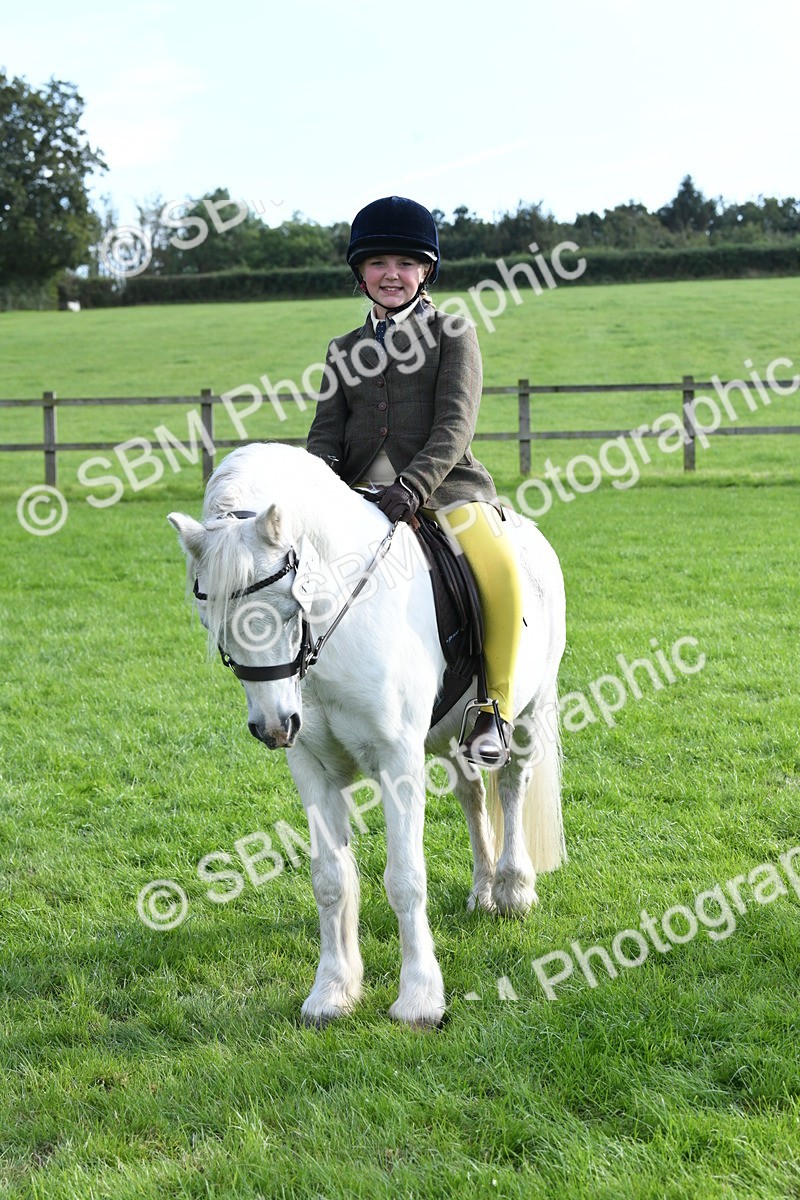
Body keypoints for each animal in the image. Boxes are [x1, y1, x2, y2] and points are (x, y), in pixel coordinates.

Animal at [168, 442, 567, 1028]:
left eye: (287, 606)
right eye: (208, 618)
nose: (273, 726)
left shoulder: (397, 760)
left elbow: (405, 878)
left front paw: (419, 999)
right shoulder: (313, 766)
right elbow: (331, 879)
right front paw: (332, 992)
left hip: (529, 710)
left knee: (513, 785)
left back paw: (514, 890)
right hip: (450, 735)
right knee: (473, 794)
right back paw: (483, 892)